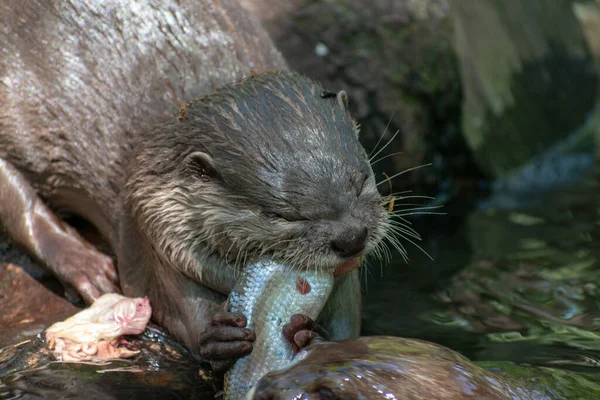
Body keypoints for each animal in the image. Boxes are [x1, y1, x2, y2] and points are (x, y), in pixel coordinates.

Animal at [0, 0, 390, 368]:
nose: (350, 237)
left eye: (361, 181)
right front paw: (217, 336)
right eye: (284, 214)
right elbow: (178, 308)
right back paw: (89, 268)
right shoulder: (154, 227)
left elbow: (347, 330)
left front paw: (309, 333)